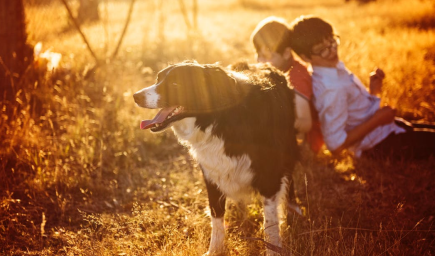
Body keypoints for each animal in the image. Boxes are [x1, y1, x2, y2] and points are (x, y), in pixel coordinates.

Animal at [135, 61, 298, 255]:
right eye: (158, 79)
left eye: (175, 84)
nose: (136, 96)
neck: (218, 119)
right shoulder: (212, 174)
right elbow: (217, 217)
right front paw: (215, 250)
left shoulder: (269, 176)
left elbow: (270, 223)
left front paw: (273, 249)